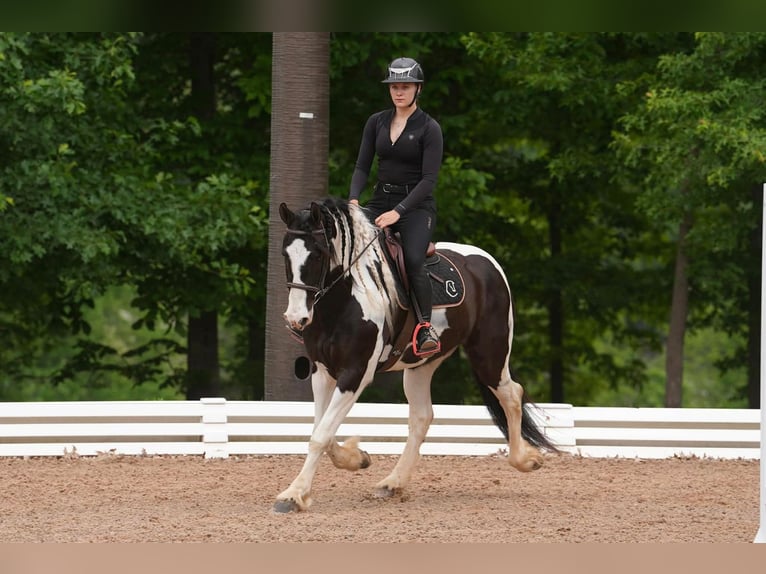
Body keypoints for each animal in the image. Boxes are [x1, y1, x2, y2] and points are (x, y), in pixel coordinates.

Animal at [274, 196, 558, 513]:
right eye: (286, 254)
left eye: (318, 255)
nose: (296, 318)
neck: (345, 300)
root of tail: (488, 262)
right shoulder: (322, 372)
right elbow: (321, 429)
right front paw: (356, 458)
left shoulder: (355, 373)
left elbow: (320, 434)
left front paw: (293, 495)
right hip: (421, 365)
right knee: (422, 416)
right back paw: (392, 483)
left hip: (489, 354)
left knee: (512, 394)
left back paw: (526, 460)